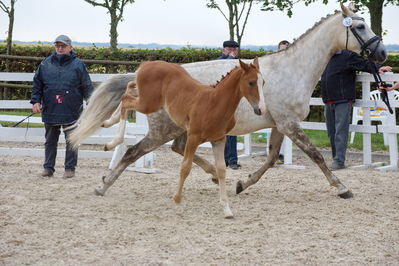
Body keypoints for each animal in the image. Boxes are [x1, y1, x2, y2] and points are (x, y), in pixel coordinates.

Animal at [69, 3, 388, 202]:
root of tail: (140, 77)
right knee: (133, 151)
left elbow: (270, 159)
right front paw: (342, 188)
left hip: (178, 129)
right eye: (360, 25)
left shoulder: (278, 124)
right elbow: (315, 155)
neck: (292, 68)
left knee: (175, 149)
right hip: (162, 129)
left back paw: (213, 175)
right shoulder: (289, 123)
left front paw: (240, 183)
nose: (382, 53)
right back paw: (103, 185)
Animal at [103, 58, 266, 218]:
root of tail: (147, 63)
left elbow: (221, 170)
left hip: (147, 100)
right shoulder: (193, 137)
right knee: (126, 99)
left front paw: (227, 210)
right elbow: (185, 167)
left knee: (130, 87)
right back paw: (112, 140)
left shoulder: (219, 140)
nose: (261, 109)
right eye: (251, 82)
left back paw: (109, 123)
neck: (214, 103)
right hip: (148, 104)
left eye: (263, 82)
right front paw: (177, 198)